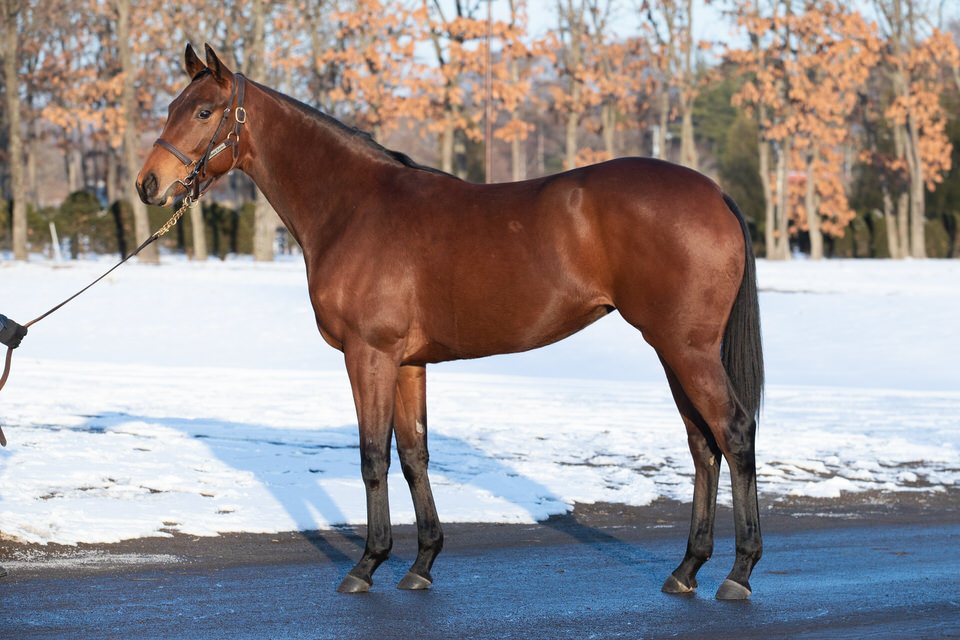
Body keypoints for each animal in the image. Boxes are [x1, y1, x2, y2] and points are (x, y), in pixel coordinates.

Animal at [137, 44, 765, 600]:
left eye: (203, 111)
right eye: (170, 106)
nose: (148, 184)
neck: (354, 207)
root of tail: (715, 193)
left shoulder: (369, 355)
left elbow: (372, 455)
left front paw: (366, 565)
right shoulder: (408, 362)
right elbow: (414, 456)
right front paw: (421, 563)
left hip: (687, 349)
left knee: (733, 432)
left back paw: (739, 573)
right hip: (673, 351)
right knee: (702, 444)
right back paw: (687, 569)